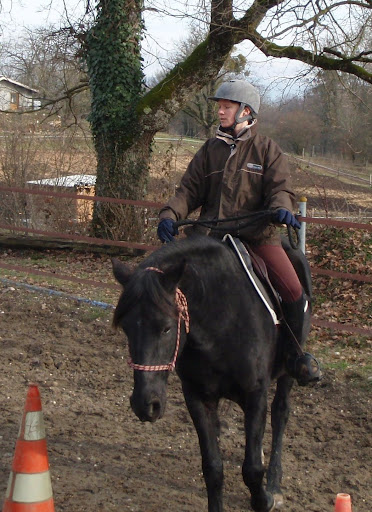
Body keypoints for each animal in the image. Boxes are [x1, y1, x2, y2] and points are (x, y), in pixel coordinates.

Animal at [112, 236, 312, 512]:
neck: (222, 320)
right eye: (126, 328)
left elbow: (252, 469)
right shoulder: (198, 398)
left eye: (166, 328)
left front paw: (264, 499)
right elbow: (213, 468)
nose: (145, 404)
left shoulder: (255, 394)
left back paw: (274, 483)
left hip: (287, 374)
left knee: (280, 413)